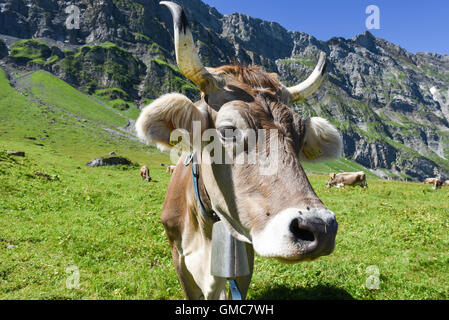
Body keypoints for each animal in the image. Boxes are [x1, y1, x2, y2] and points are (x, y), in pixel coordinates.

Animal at [135, 1, 342, 300]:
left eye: (300, 135)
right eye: (227, 130)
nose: (320, 227)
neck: (207, 230)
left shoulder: (243, 260)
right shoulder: (179, 258)